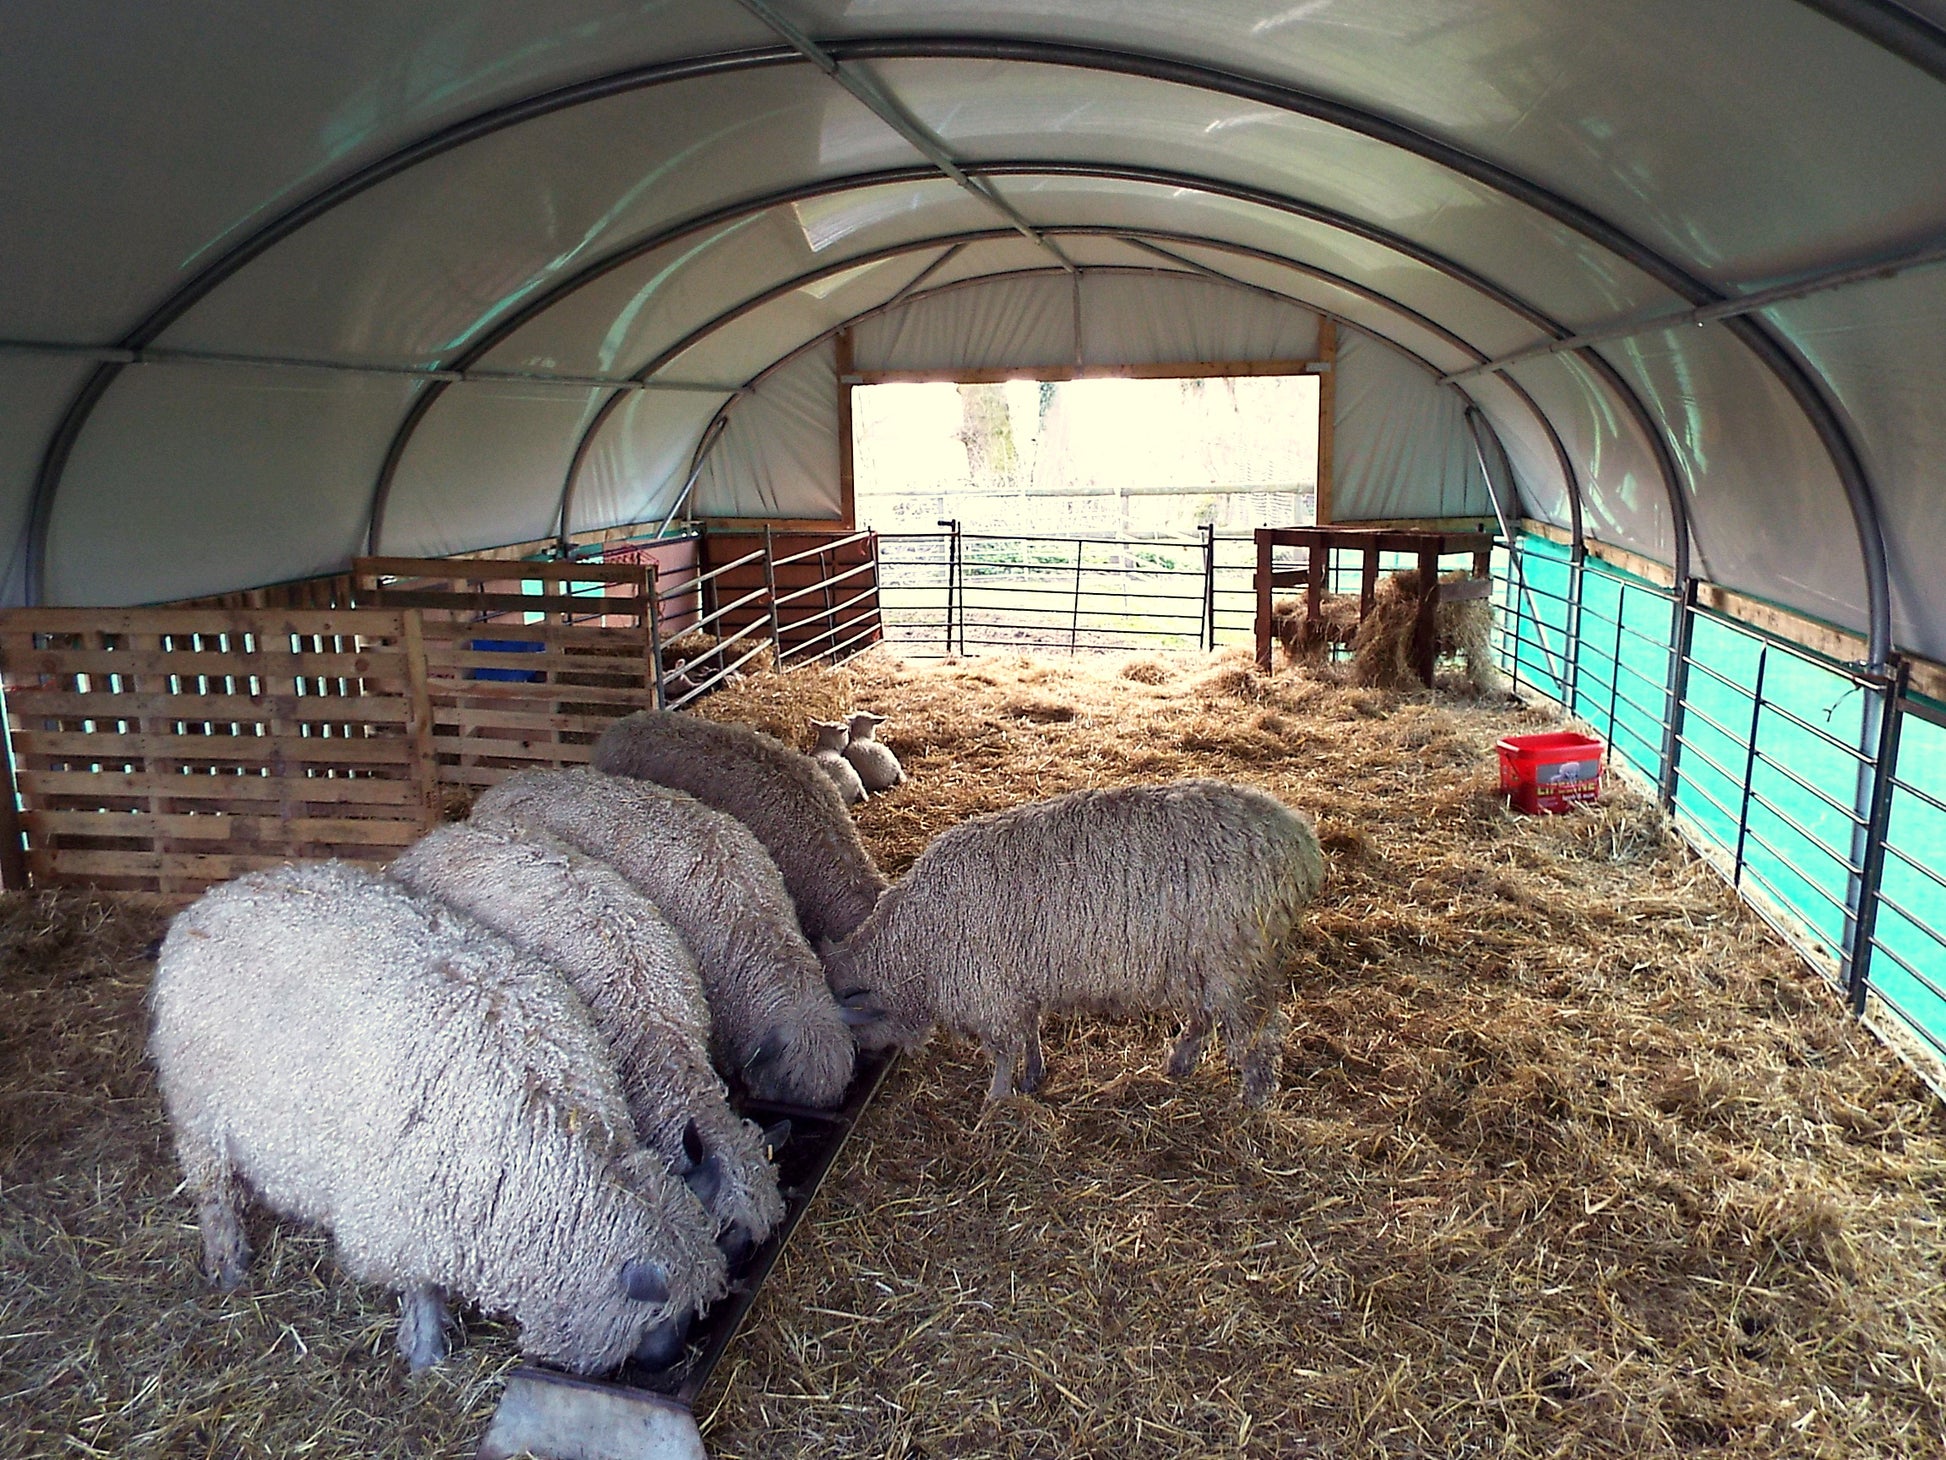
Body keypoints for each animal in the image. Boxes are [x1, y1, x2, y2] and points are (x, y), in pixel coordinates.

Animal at [147, 860, 727, 1375]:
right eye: (658, 1316)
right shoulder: (405, 1214)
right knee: (212, 1192)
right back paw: (227, 1264)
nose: (667, 1361)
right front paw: (425, 1351)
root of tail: (214, 897)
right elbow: (422, 1287)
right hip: (197, 1113)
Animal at [821, 779, 1326, 1108]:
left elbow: (1003, 1050)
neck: (916, 941)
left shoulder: (988, 992)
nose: (853, 1077)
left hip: (1237, 962)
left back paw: (1253, 1100)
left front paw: (997, 1100)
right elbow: (1027, 1034)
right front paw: (1032, 1076)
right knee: (1205, 1015)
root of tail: (1300, 841)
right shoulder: (1016, 987)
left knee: (1261, 1033)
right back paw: (1181, 1061)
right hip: (1200, 962)